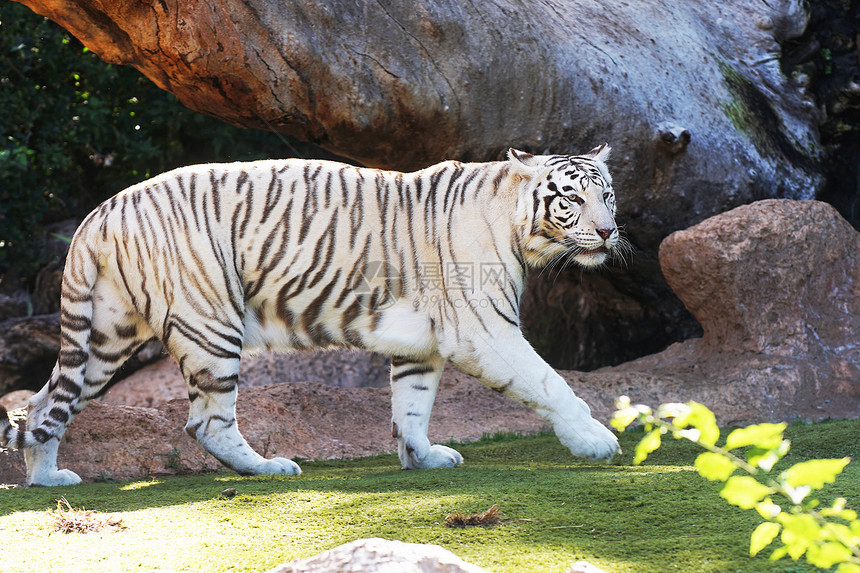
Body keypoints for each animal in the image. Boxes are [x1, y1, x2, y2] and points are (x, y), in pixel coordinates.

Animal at [0, 143, 620, 482]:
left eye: (607, 194)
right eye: (572, 197)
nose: (610, 231)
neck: (513, 220)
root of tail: (100, 210)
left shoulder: (420, 344)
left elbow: (412, 406)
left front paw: (421, 458)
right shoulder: (484, 330)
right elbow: (551, 383)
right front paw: (595, 442)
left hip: (107, 334)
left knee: (44, 404)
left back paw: (48, 479)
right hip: (212, 322)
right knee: (207, 422)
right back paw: (269, 468)